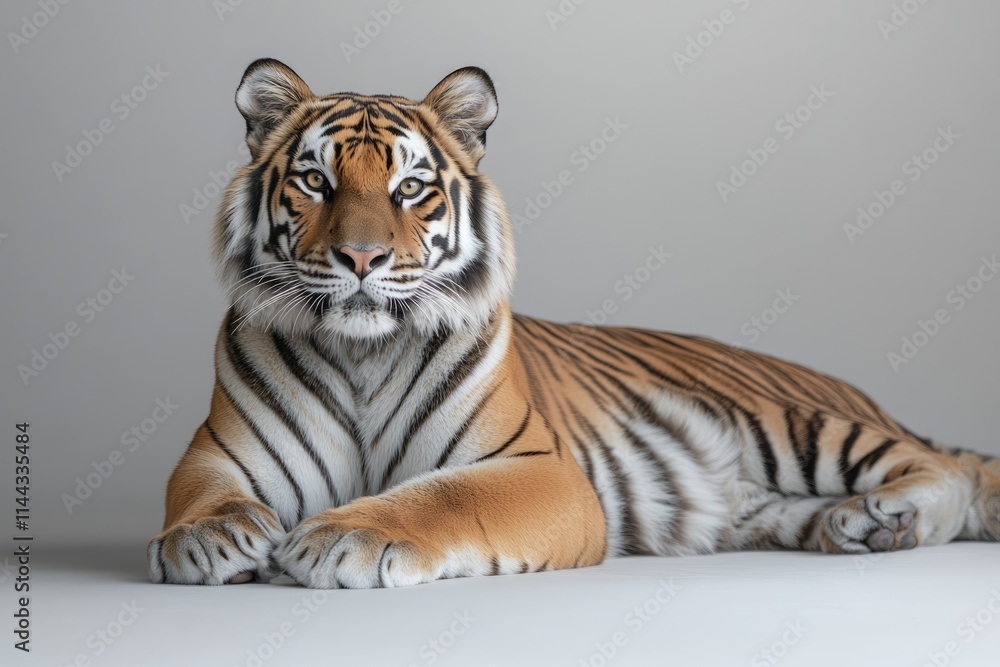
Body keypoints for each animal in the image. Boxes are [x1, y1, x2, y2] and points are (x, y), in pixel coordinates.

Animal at [147, 58, 1000, 588]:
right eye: (316, 181)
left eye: (410, 186)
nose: (361, 257)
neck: (364, 353)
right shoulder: (217, 452)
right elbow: (199, 499)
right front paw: (208, 538)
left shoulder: (538, 468)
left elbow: (439, 497)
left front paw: (343, 534)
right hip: (757, 495)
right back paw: (855, 529)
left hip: (789, 419)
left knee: (948, 469)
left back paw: (883, 515)